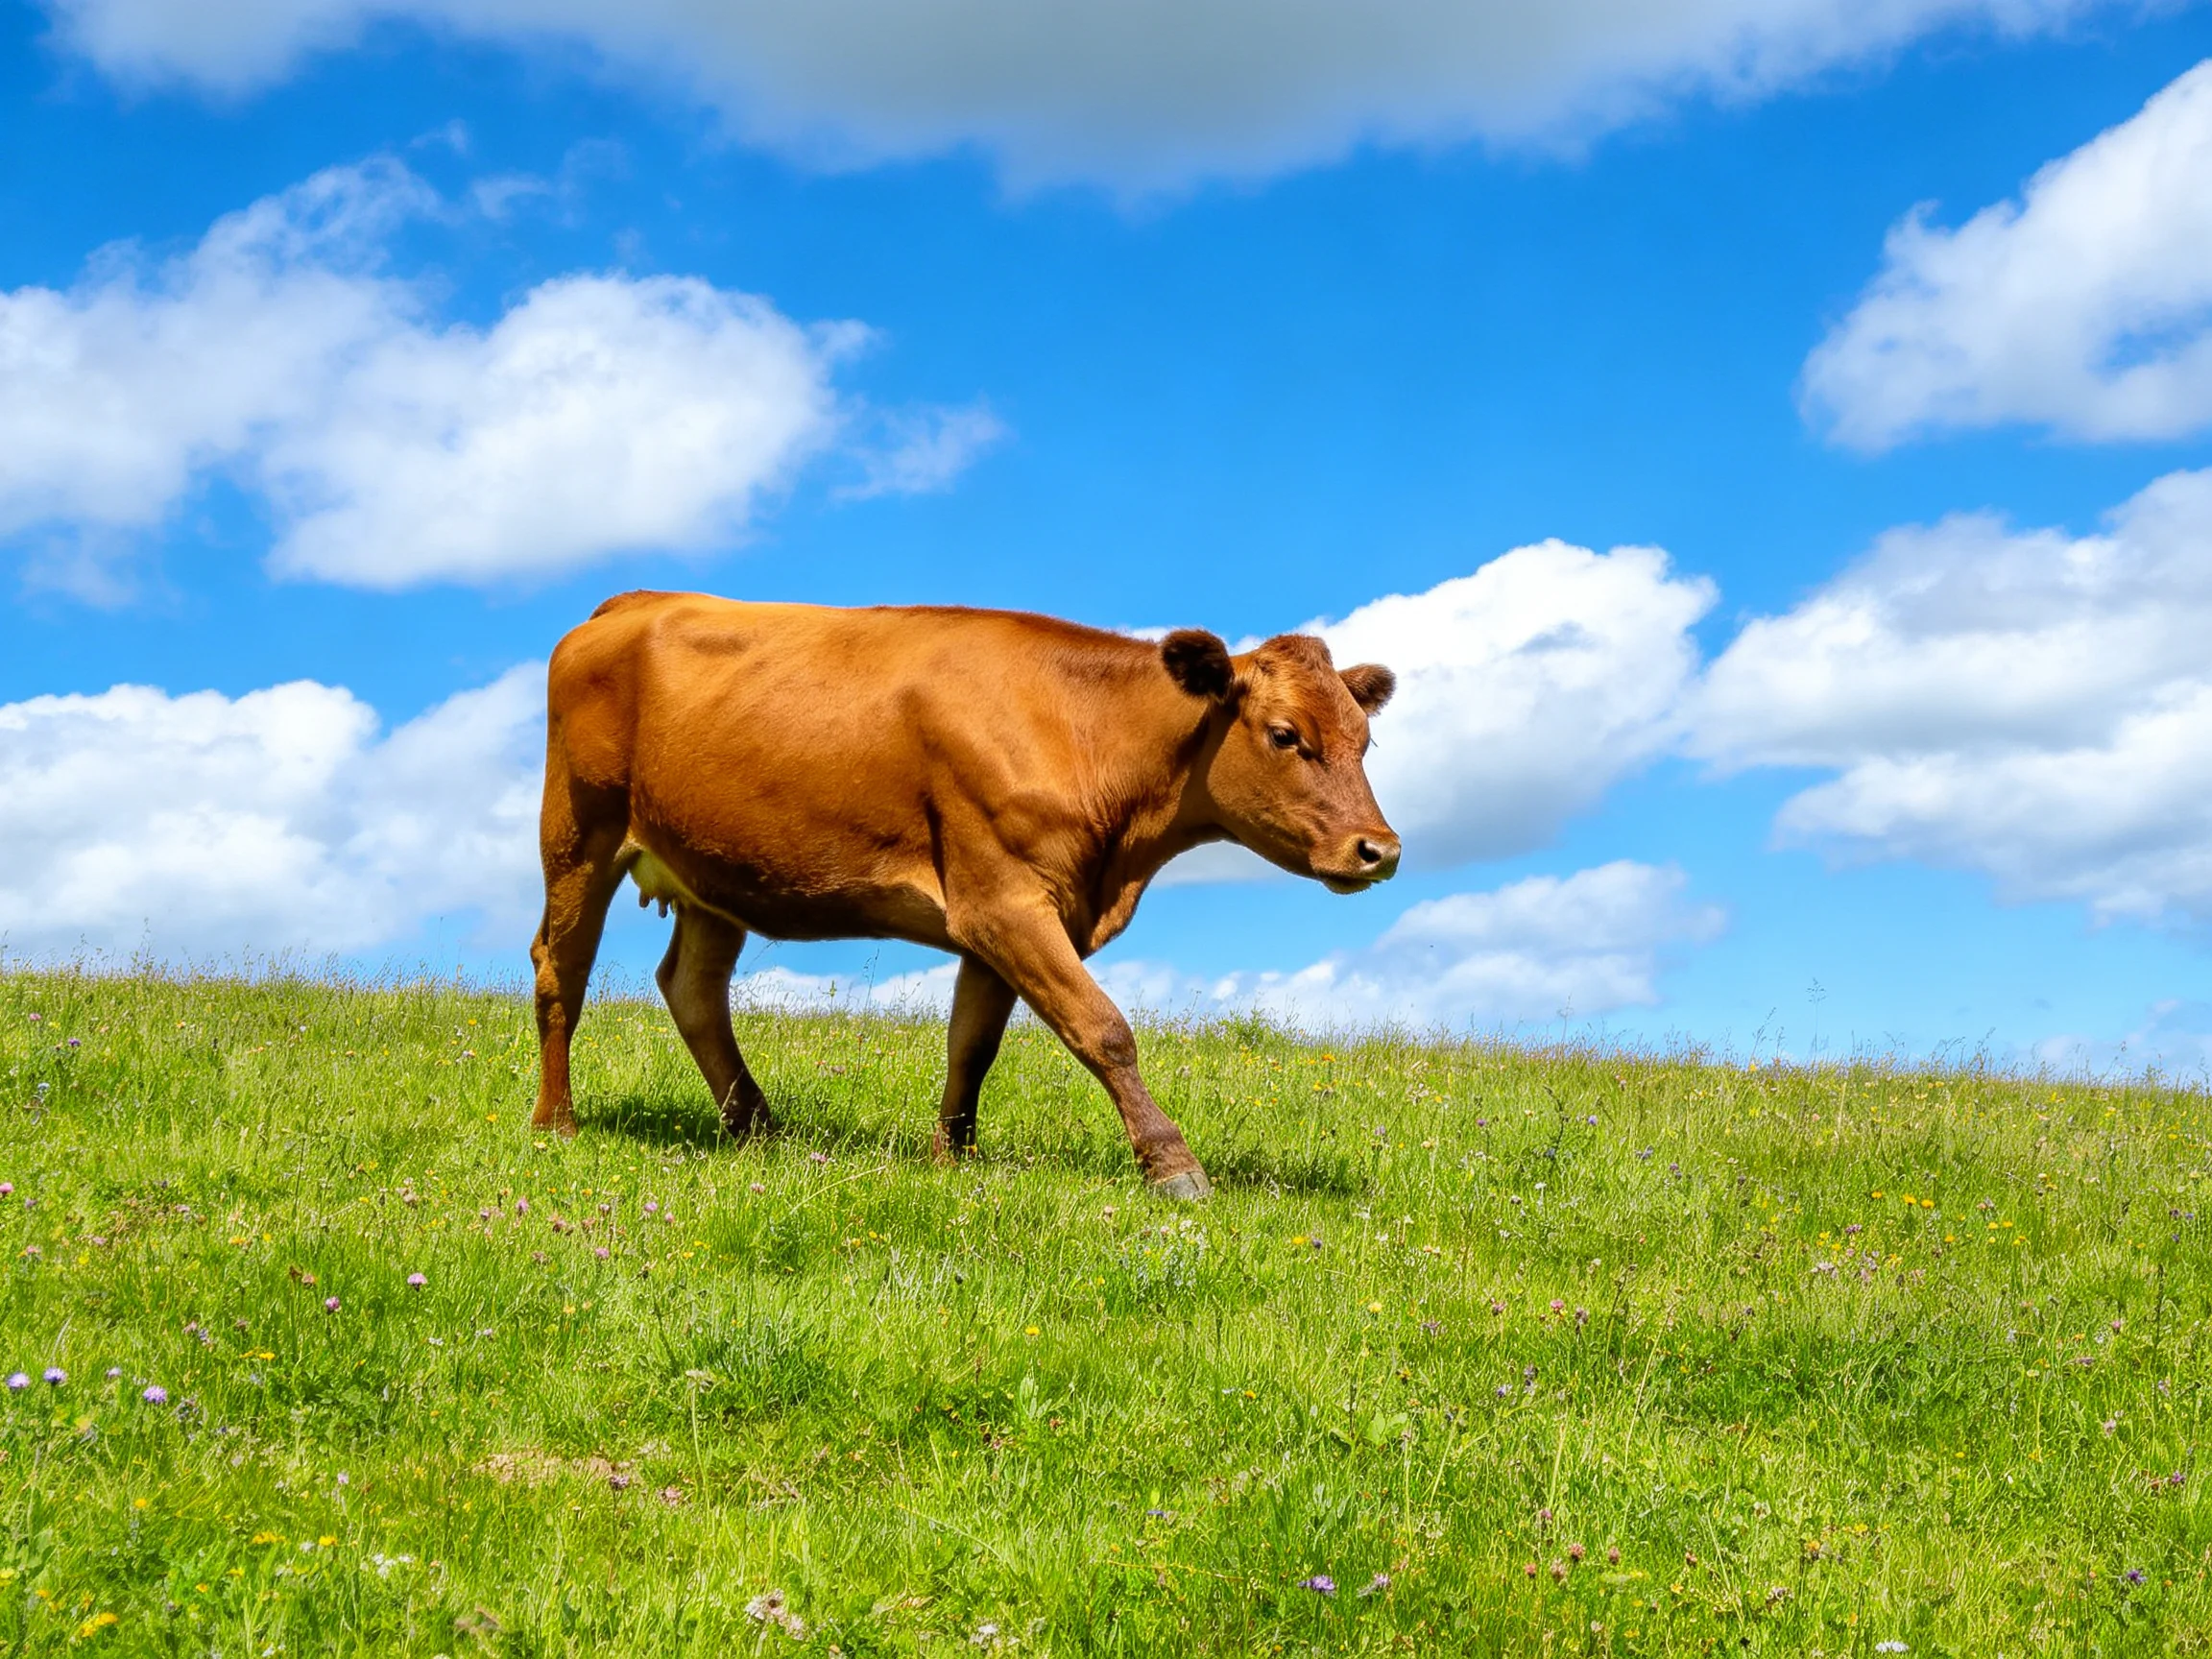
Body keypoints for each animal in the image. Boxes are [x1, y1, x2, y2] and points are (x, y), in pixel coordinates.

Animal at [529, 593, 1399, 1199]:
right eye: (1285, 735)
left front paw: (954, 1157)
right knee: (559, 973)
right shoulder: (1004, 902)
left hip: (715, 874)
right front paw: (1172, 1166)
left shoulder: (1010, 916)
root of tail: (629, 603)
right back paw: (556, 1124)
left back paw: (759, 1130)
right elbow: (1104, 1028)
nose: (1381, 850)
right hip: (580, 837)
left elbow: (972, 1044)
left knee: (693, 989)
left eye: (1365, 740)